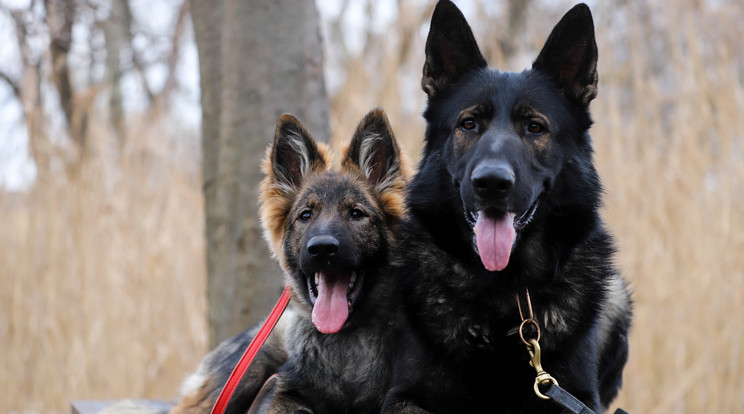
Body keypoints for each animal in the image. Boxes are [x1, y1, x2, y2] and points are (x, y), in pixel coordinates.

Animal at [384, 1, 632, 412]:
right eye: (469, 123)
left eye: (534, 127)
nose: (491, 183)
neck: (505, 289)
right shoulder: (405, 395)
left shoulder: (580, 396)